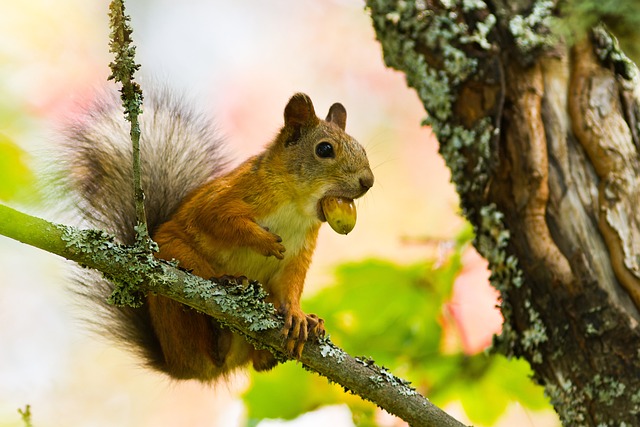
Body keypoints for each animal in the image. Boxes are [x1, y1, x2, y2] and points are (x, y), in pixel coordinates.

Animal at [57, 88, 376, 382]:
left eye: (362, 149)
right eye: (324, 149)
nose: (368, 181)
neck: (297, 206)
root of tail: (180, 367)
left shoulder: (301, 252)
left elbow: (291, 285)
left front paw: (298, 315)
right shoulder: (228, 196)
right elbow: (219, 219)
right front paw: (263, 241)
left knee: (258, 363)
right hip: (174, 268)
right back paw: (224, 297)